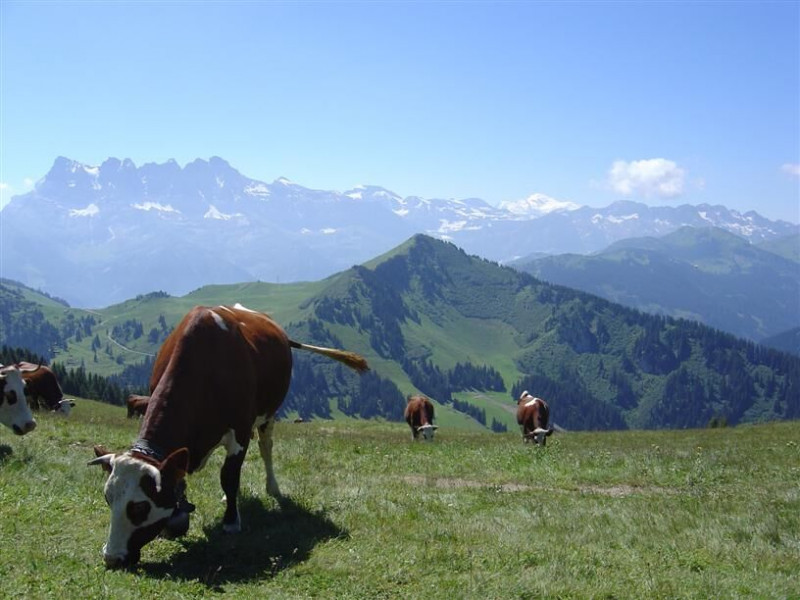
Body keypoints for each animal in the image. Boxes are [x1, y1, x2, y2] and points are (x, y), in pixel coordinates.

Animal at [89, 302, 370, 568]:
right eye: (108, 499)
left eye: (139, 506)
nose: (112, 558)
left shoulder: (241, 430)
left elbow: (229, 476)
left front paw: (231, 521)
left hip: (269, 413)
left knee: (266, 448)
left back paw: (272, 487)